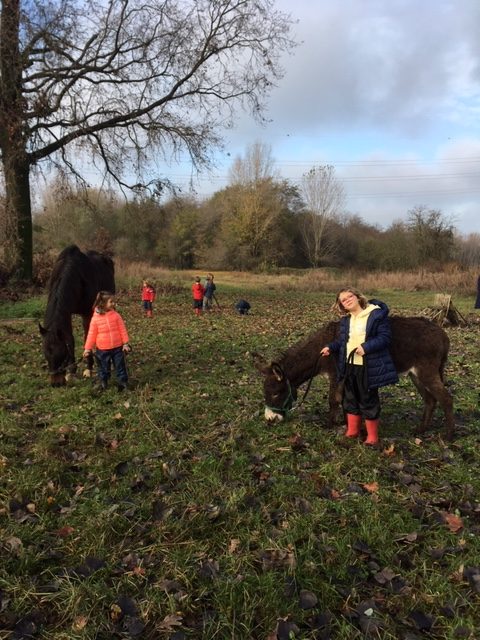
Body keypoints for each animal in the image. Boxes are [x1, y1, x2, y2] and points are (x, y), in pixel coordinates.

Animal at [39, 245, 115, 384]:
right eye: (46, 354)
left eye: (62, 354)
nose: (56, 383)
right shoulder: (67, 313)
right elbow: (70, 338)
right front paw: (71, 372)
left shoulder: (87, 314)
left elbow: (87, 338)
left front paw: (88, 369)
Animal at [253, 316, 456, 440]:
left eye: (276, 393)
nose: (269, 420)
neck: (322, 349)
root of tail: (443, 335)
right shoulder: (345, 377)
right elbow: (344, 401)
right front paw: (347, 423)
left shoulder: (336, 375)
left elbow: (333, 400)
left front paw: (329, 424)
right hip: (416, 375)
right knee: (430, 400)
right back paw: (421, 429)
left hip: (426, 371)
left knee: (446, 399)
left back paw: (448, 436)